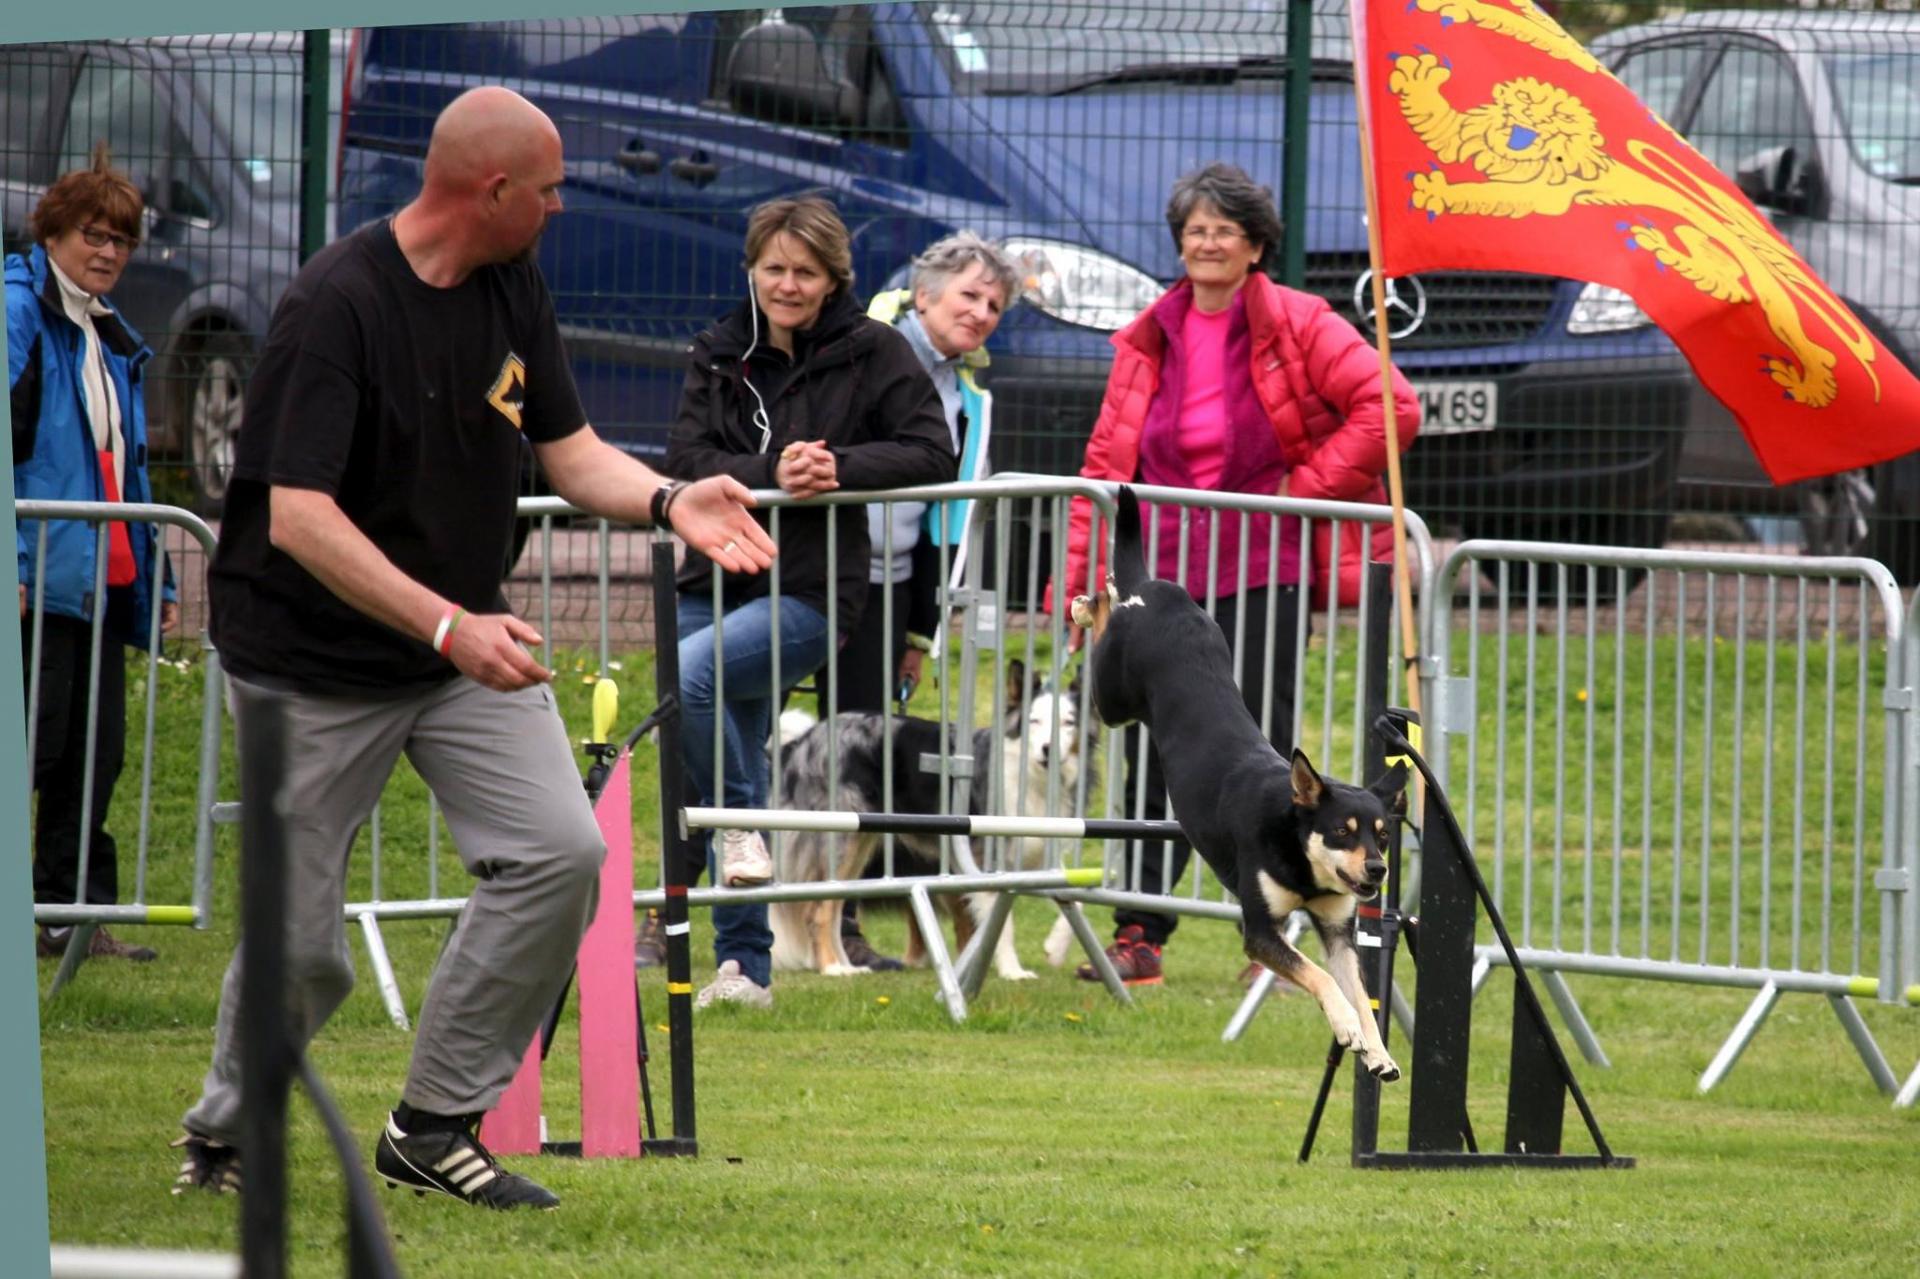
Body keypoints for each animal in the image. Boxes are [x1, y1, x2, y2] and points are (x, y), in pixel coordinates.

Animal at [1067, 483, 1413, 1083]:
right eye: (1342, 832)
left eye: (1383, 835)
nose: (1377, 870)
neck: (1294, 842)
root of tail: (1154, 591)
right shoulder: (1260, 930)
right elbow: (1323, 980)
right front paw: (1346, 1028)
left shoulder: (1338, 929)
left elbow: (1358, 991)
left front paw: (1377, 1052)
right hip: (1111, 698)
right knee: (1108, 613)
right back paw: (1091, 602)